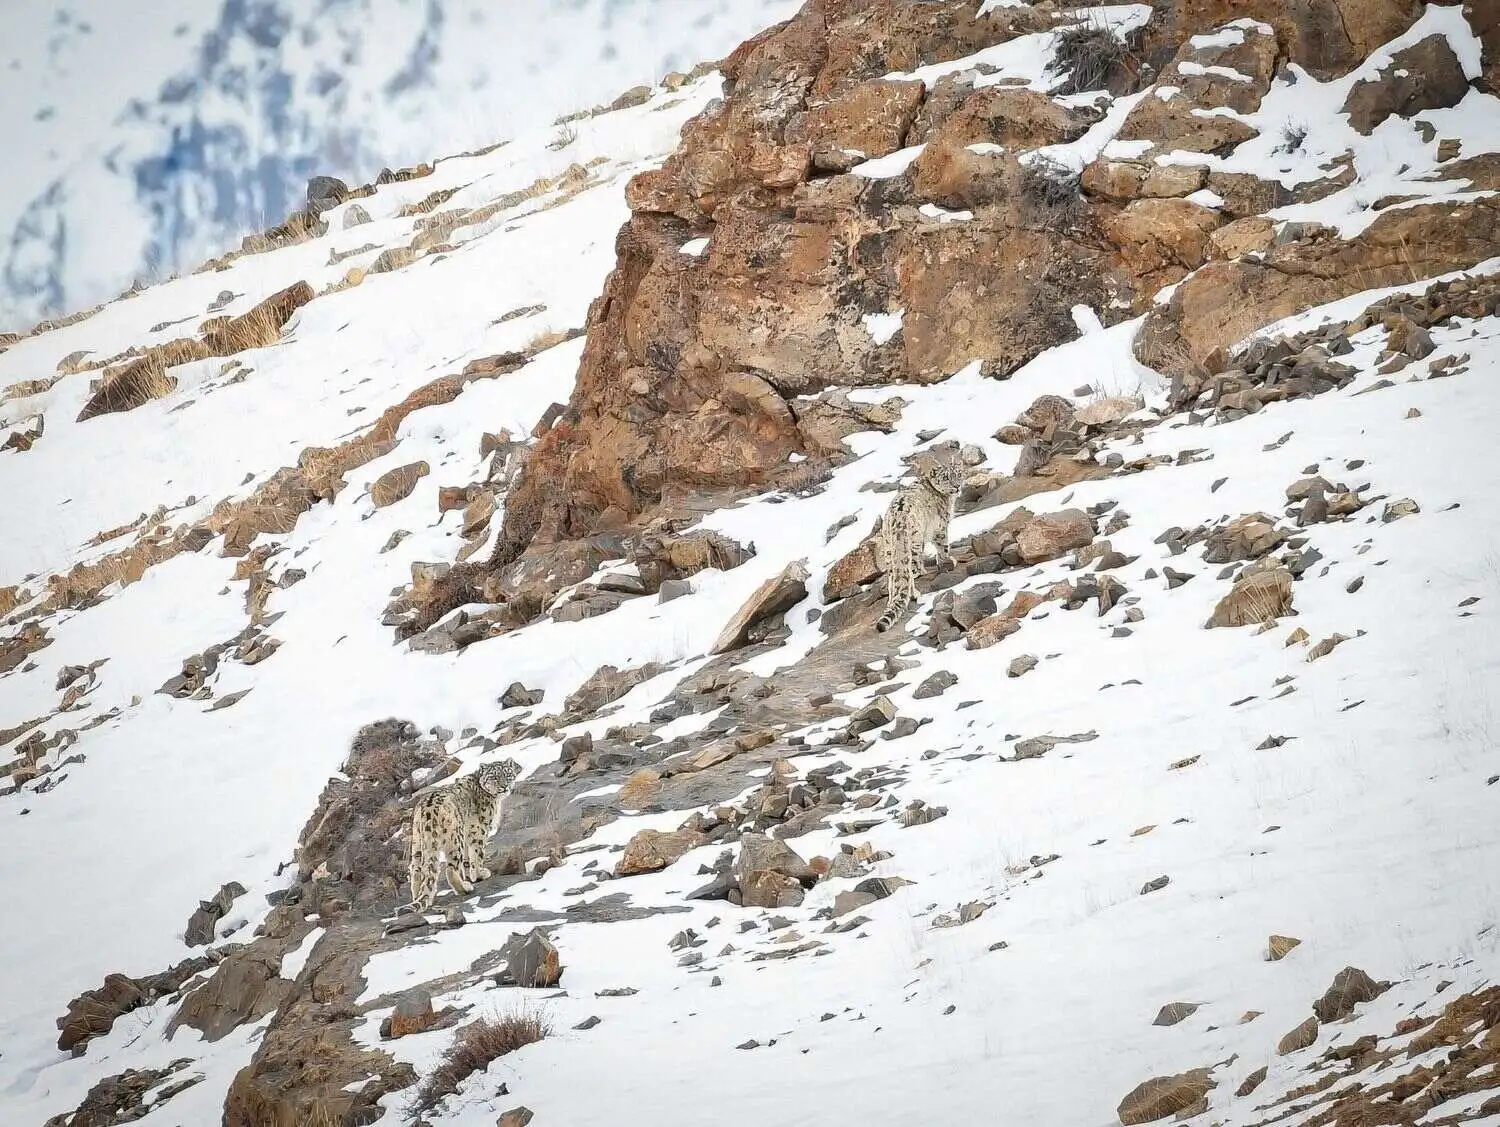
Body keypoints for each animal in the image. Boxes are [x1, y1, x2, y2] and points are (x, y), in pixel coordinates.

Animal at [406, 757, 521, 912]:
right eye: (494, 777)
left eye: (507, 774)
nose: (504, 787)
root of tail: (426, 811)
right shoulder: (479, 830)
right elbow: (477, 854)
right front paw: (479, 874)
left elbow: (467, 858)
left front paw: (469, 874)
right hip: (455, 838)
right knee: (450, 869)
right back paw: (465, 888)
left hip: (417, 842)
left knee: (416, 869)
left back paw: (419, 897)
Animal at [874, 456, 966, 633]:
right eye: (946, 478)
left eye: (958, 473)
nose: (957, 486)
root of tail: (897, 520)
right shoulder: (940, 527)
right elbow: (943, 547)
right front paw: (949, 560)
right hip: (913, 541)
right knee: (911, 569)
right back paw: (915, 593)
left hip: (889, 548)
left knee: (893, 575)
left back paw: (892, 599)